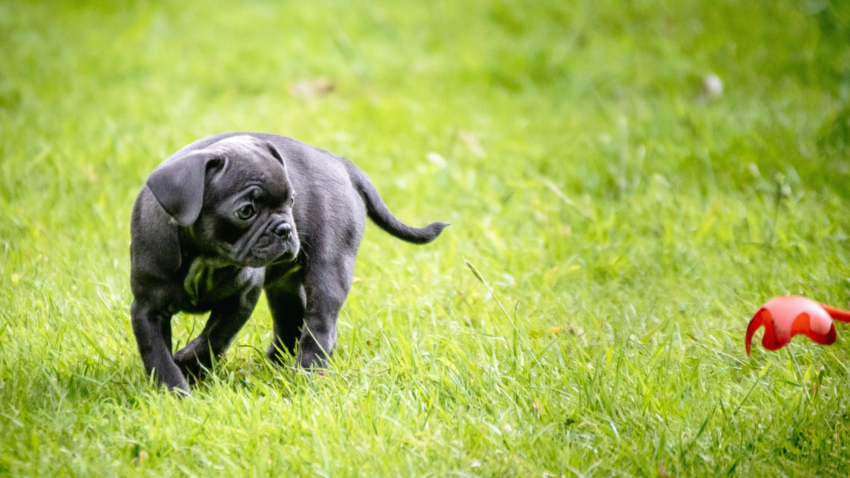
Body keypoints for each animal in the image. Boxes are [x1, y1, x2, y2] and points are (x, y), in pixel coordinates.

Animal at [130, 134, 448, 392]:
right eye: (245, 211)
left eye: (292, 200)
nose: (285, 229)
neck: (206, 260)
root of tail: (341, 164)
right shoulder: (147, 309)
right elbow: (157, 354)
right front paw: (173, 389)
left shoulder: (241, 299)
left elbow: (214, 337)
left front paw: (186, 366)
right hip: (284, 286)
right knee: (291, 321)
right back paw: (274, 367)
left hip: (329, 271)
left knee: (318, 327)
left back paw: (306, 375)